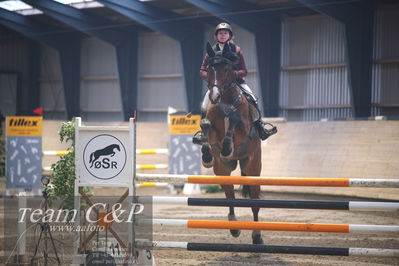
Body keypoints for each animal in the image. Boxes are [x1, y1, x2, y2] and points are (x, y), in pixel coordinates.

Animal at [202, 42, 264, 245]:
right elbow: (206, 126)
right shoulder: (213, 130)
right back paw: (234, 227)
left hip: (253, 168)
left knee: (255, 203)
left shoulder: (242, 129)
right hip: (222, 170)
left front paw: (228, 147)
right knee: (230, 197)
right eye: (209, 69)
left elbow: (235, 121)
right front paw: (206, 155)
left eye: (227, 68)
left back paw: (257, 236)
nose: (214, 96)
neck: (225, 101)